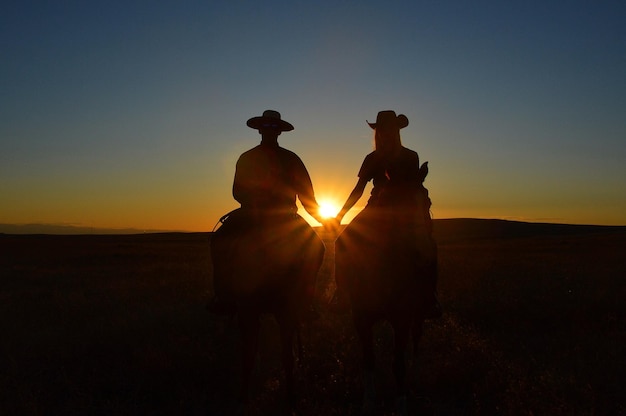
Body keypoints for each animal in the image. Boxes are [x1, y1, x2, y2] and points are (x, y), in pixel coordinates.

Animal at [211, 211, 324, 412]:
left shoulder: (276, 311)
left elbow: (281, 356)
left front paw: (290, 399)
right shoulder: (250, 310)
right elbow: (251, 354)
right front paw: (244, 398)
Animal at [336, 161, 434, 414]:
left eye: (428, 202)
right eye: (397, 205)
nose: (424, 255)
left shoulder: (402, 318)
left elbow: (398, 363)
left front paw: (401, 403)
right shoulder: (361, 317)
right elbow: (368, 358)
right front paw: (369, 401)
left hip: (418, 313)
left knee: (416, 342)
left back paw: (415, 379)